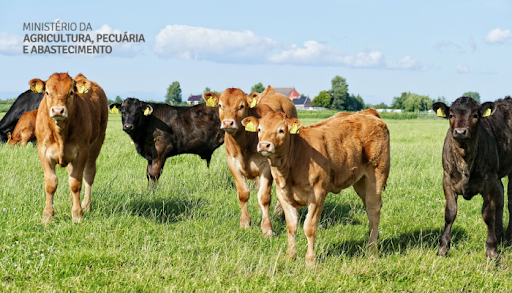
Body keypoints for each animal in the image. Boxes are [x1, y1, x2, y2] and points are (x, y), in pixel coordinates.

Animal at [31, 72, 108, 221]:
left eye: (71, 92)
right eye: (47, 92)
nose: (58, 110)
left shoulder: (82, 151)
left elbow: (75, 183)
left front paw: (77, 214)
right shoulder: (43, 151)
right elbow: (51, 183)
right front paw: (47, 215)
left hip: (96, 143)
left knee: (89, 174)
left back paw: (86, 205)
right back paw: (71, 201)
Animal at [203, 86, 298, 235]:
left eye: (241, 106)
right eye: (220, 105)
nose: (228, 123)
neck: (243, 145)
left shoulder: (266, 167)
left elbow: (264, 197)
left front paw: (267, 228)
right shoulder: (233, 165)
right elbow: (244, 194)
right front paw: (245, 223)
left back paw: (279, 211)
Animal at [242, 109, 390, 264]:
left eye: (281, 130)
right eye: (259, 129)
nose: (264, 145)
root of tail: (368, 112)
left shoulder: (317, 195)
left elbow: (310, 227)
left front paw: (310, 260)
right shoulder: (283, 194)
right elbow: (292, 226)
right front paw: (291, 256)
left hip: (376, 176)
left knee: (374, 210)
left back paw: (372, 251)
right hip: (361, 182)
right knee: (369, 208)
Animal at [432, 96, 512, 256]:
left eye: (475, 115)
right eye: (451, 115)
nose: (460, 132)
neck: (465, 160)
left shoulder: (489, 181)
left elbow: (488, 214)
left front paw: (492, 251)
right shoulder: (447, 180)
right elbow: (450, 214)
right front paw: (443, 249)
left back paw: (507, 238)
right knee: (500, 198)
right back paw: (499, 235)